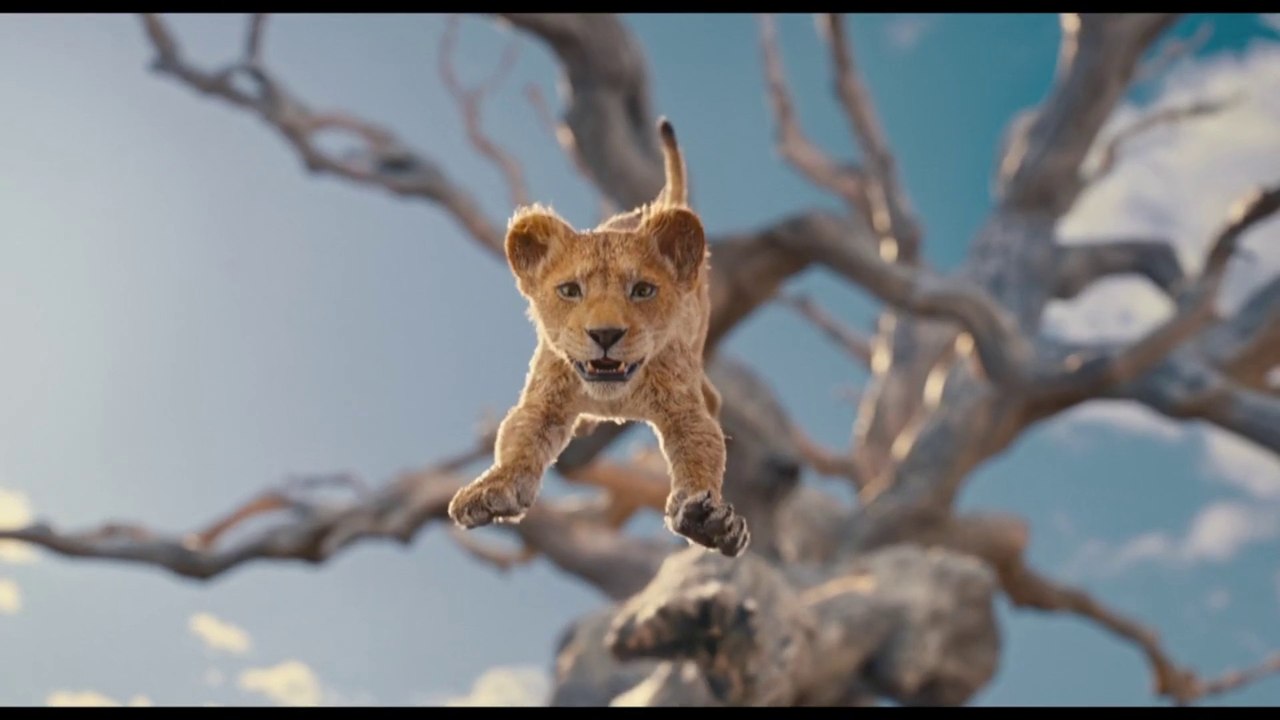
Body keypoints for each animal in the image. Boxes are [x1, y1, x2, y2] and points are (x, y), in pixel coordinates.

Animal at [446, 118, 750, 557]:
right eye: (570, 290)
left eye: (643, 290)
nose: (605, 333)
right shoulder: (544, 399)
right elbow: (518, 441)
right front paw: (492, 489)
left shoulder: (683, 408)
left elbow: (701, 450)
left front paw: (708, 520)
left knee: (710, 397)